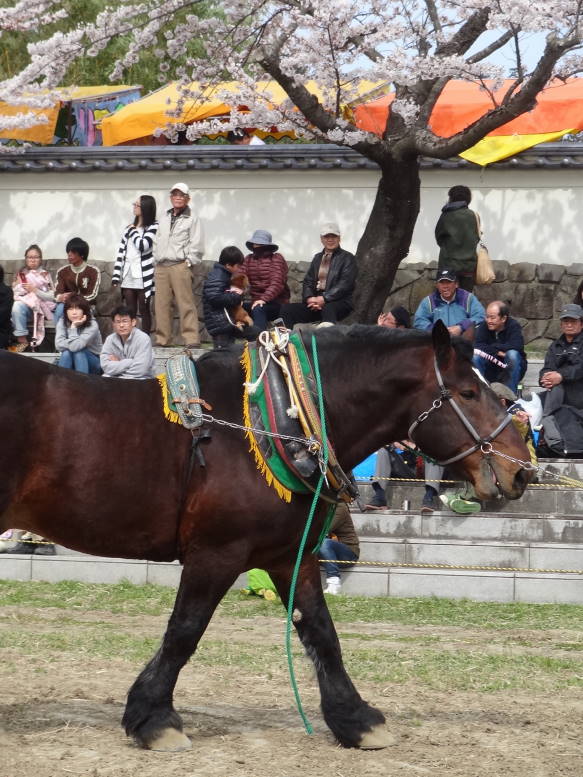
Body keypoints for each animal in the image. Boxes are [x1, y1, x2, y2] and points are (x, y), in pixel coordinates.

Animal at [0, 322, 532, 752]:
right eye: (468, 392)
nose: (522, 469)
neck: (270, 424)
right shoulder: (216, 554)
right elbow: (184, 633)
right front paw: (153, 719)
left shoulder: (289, 555)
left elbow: (321, 632)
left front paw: (355, 720)